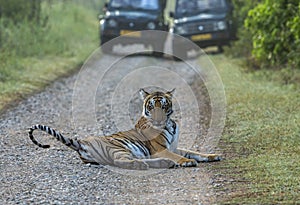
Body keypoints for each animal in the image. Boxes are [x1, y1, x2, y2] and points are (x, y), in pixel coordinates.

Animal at [28, 88, 220, 170]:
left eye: (164, 105)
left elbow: (194, 152)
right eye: (151, 106)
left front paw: (212, 156)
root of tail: (82, 142)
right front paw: (186, 161)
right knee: (124, 162)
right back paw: (157, 164)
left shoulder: (174, 146)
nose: (158, 118)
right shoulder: (160, 149)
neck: (169, 124)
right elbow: (180, 156)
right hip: (119, 148)